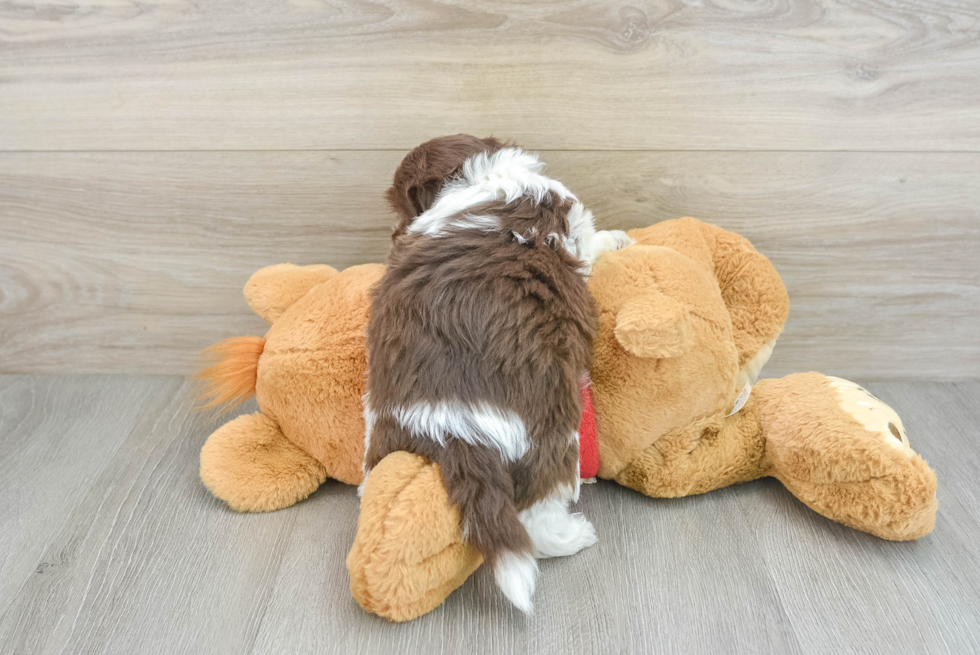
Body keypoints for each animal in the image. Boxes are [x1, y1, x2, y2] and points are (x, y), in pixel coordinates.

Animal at [364, 135, 632, 616]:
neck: (479, 176)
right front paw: (618, 239)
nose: (393, 237)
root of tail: (456, 429)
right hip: (552, 437)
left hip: (383, 431)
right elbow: (592, 240)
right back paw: (575, 536)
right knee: (540, 516)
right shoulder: (574, 227)